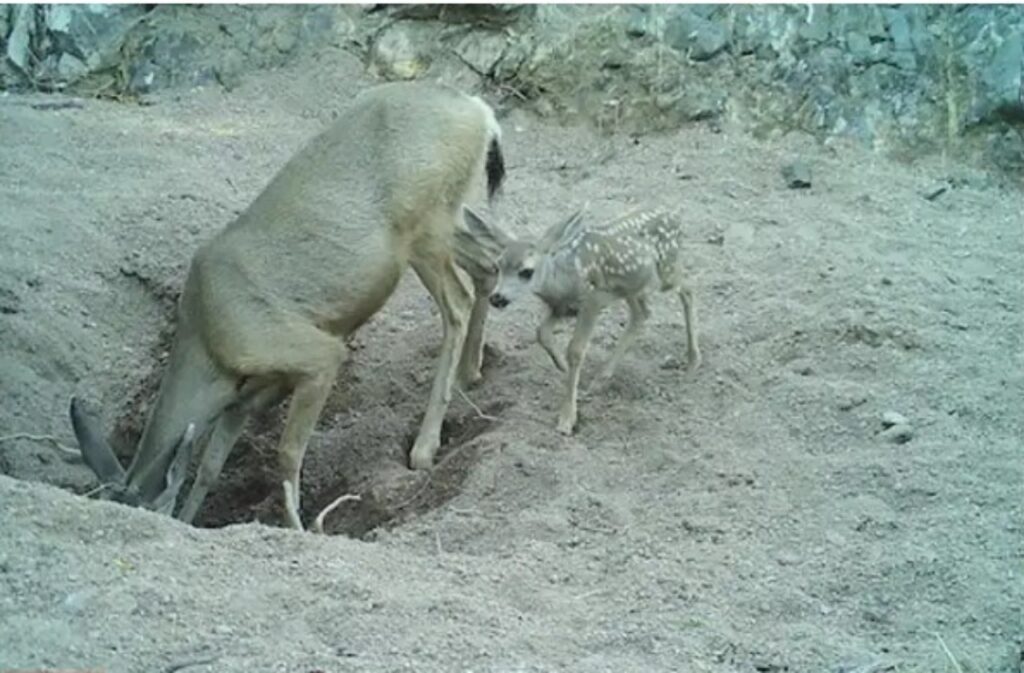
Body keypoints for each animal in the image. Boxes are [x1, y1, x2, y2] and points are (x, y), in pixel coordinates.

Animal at [68, 79, 507, 528]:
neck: (209, 341)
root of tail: (480, 111)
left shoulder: (314, 354)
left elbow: (287, 453)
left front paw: (302, 526)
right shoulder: (247, 397)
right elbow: (209, 465)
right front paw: (195, 517)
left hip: (428, 225)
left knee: (458, 302)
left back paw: (424, 447)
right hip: (446, 221)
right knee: (489, 261)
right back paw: (472, 371)